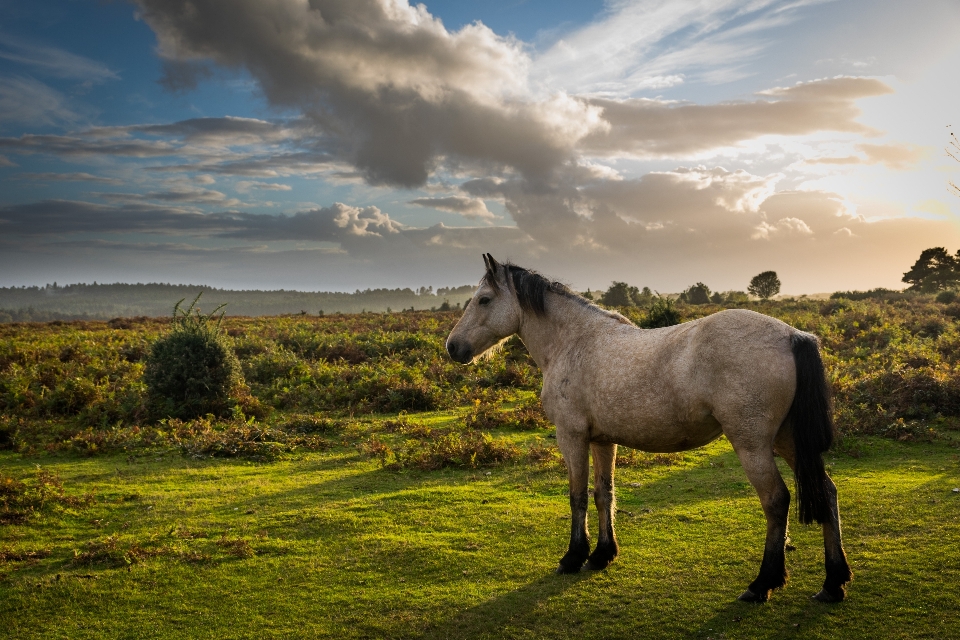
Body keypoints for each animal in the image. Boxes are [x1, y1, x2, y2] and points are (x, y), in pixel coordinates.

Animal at [446, 252, 852, 604]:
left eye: (483, 300)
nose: (453, 347)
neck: (573, 343)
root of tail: (793, 335)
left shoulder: (571, 437)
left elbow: (577, 497)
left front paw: (573, 557)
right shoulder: (601, 440)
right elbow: (603, 494)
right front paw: (602, 555)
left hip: (752, 444)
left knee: (776, 501)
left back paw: (762, 583)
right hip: (787, 440)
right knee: (827, 492)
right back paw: (833, 583)